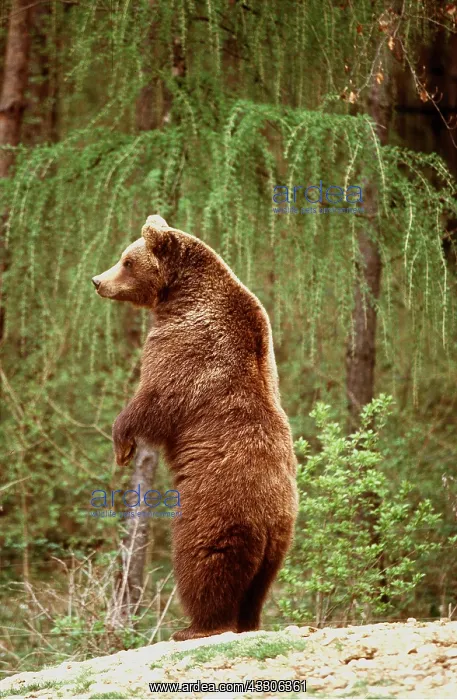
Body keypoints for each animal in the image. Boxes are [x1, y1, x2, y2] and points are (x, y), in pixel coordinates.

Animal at [92, 215, 298, 641]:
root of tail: (269, 522)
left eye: (126, 261)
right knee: (258, 587)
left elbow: (155, 398)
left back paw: (195, 627)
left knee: (203, 564)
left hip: (214, 515)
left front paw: (123, 445)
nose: (97, 280)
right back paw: (247, 622)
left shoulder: (190, 347)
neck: (180, 295)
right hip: (279, 545)